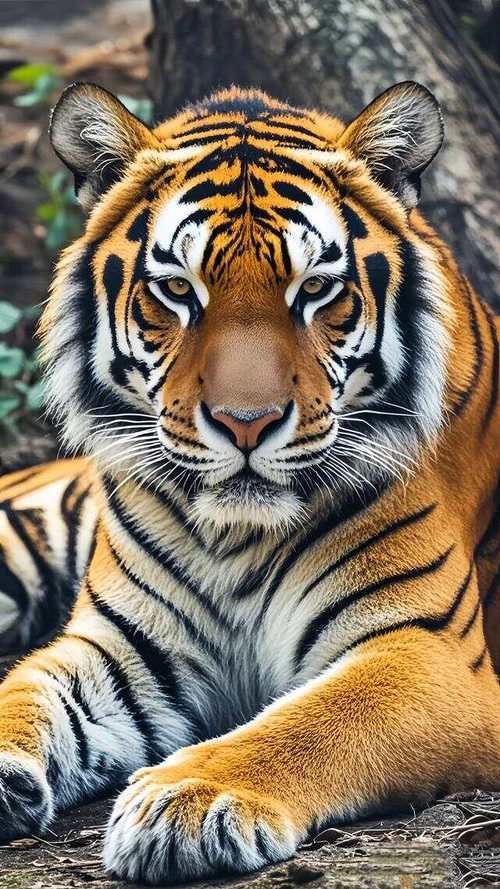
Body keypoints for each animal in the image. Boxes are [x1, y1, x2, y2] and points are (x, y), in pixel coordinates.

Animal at [0, 78, 498, 886]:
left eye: (317, 289)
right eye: (177, 290)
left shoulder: (430, 653)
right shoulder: (121, 645)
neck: (236, 536)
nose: (245, 423)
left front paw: (189, 797)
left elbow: (319, 718)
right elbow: (22, 690)